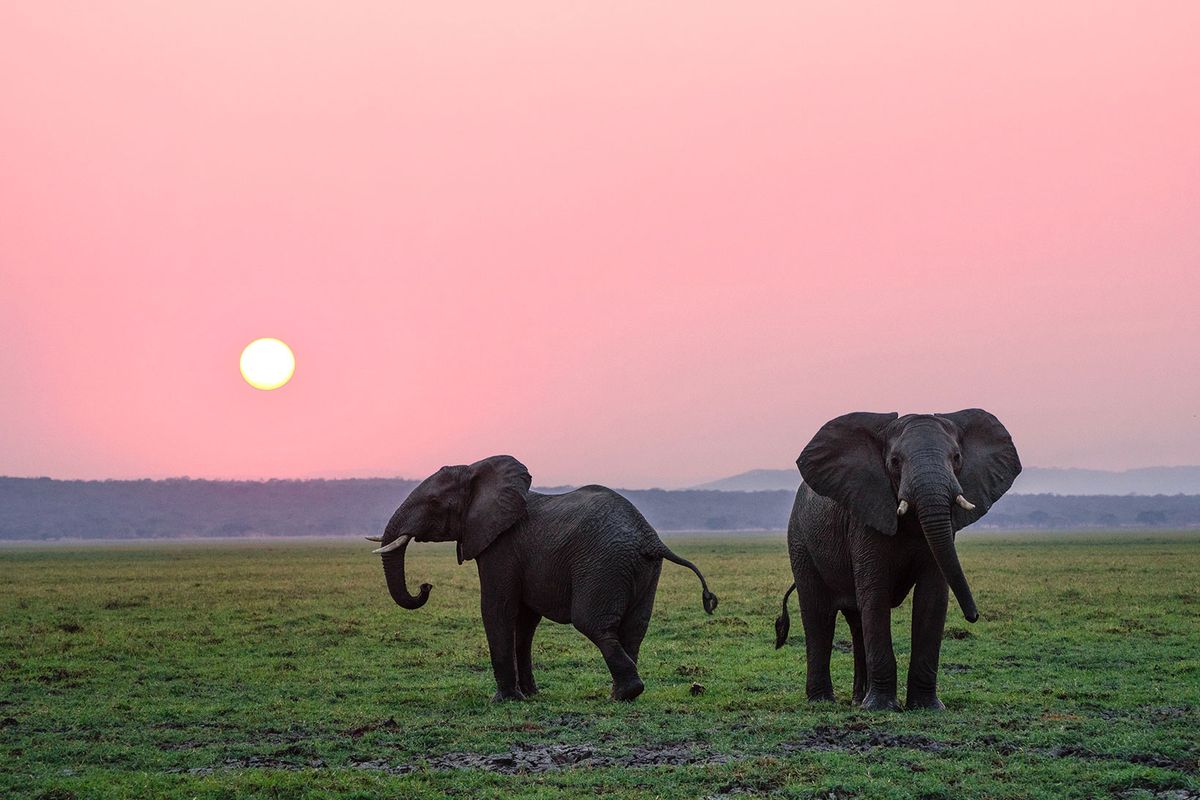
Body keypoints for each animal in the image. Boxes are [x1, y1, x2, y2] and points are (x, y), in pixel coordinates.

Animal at [364, 455, 715, 700]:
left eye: (434, 502)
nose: (425, 586)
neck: (477, 471)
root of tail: (650, 538)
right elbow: (525, 621)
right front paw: (531, 695)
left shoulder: (501, 546)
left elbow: (497, 608)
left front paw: (504, 699)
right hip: (641, 570)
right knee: (634, 628)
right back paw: (620, 694)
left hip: (603, 564)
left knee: (592, 623)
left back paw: (625, 694)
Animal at [772, 410, 1017, 710]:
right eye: (895, 462)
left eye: (957, 457)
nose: (974, 616)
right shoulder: (866, 515)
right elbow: (875, 595)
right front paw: (881, 708)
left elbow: (932, 597)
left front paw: (926, 707)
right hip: (800, 542)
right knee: (819, 615)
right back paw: (823, 701)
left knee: (856, 621)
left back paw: (857, 700)